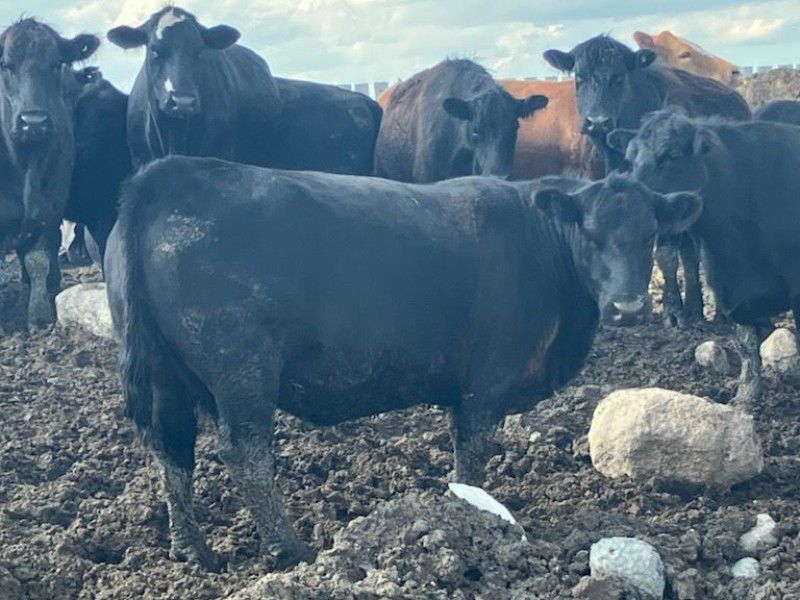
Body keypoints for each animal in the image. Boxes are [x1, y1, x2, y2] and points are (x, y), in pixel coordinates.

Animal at [0, 19, 100, 333]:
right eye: (6, 64)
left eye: (55, 64)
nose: (34, 122)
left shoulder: (49, 207)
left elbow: (38, 260)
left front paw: (39, 316)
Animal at [104, 156, 700, 569]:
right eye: (591, 234)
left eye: (651, 234)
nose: (629, 307)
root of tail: (169, 174)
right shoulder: (485, 383)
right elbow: (471, 456)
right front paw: (475, 519)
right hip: (242, 371)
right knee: (245, 455)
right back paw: (292, 550)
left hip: (166, 377)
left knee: (172, 450)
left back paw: (193, 551)